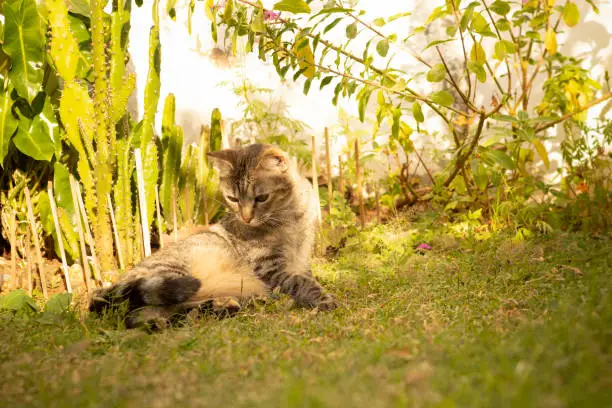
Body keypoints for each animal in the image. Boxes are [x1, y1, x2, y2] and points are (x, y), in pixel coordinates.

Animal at [89, 143, 338, 328]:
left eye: (261, 198)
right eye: (233, 199)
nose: (246, 217)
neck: (290, 216)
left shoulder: (301, 257)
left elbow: (305, 275)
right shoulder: (272, 268)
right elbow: (301, 282)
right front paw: (323, 298)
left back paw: (224, 306)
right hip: (173, 274)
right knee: (140, 314)